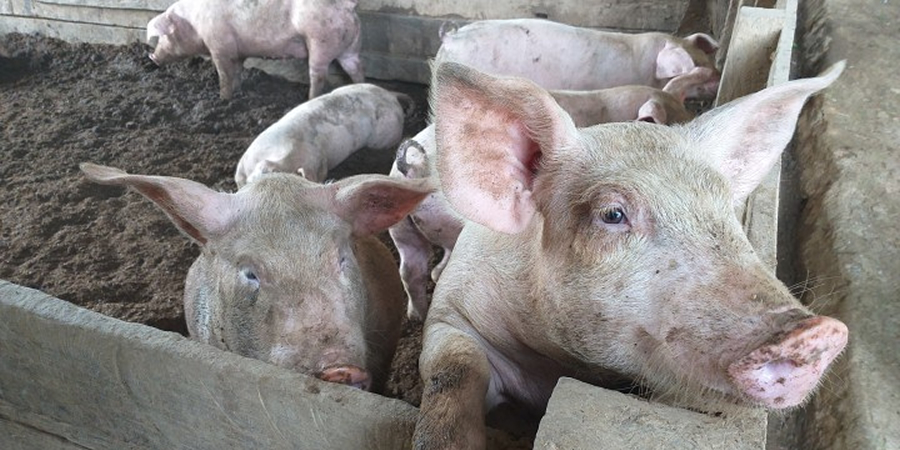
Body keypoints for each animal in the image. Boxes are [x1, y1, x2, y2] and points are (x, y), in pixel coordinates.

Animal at [146, 0, 365, 100]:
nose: (153, 57)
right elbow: (237, 72)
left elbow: (224, 74)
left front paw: (223, 99)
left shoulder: (220, 47)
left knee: (318, 75)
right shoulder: (238, 52)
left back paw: (309, 99)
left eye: (164, 35)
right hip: (350, 47)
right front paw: (238, 92)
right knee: (356, 70)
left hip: (320, 41)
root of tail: (347, 5)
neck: (194, 23)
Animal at [412, 61, 849, 449]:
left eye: (724, 205)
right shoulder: (451, 313)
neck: (559, 364)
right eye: (612, 214)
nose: (815, 331)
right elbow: (453, 367)